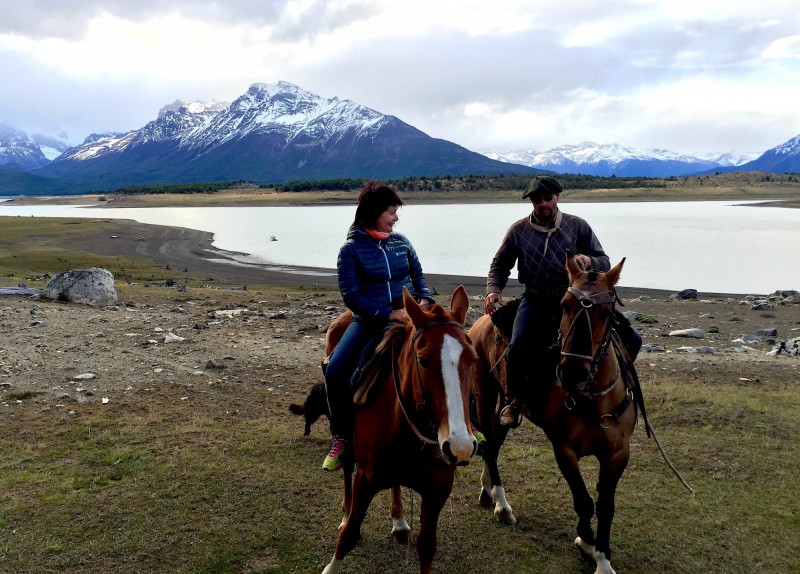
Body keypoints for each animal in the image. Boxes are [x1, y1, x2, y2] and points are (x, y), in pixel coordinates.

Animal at [322, 286, 478, 572]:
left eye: (473, 358)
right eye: (423, 360)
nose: (460, 446)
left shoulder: (438, 489)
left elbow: (427, 546)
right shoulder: (365, 479)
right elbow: (349, 535)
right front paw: (332, 564)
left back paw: (399, 520)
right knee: (347, 468)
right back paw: (346, 512)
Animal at [468, 255, 636, 574]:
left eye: (607, 312)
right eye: (564, 305)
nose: (571, 373)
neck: (592, 399)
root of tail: (482, 321)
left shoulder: (618, 453)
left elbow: (606, 506)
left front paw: (603, 559)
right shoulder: (564, 450)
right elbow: (584, 501)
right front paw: (586, 543)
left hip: (505, 403)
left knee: (494, 442)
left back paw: (487, 491)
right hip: (485, 395)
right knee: (491, 449)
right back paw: (502, 505)